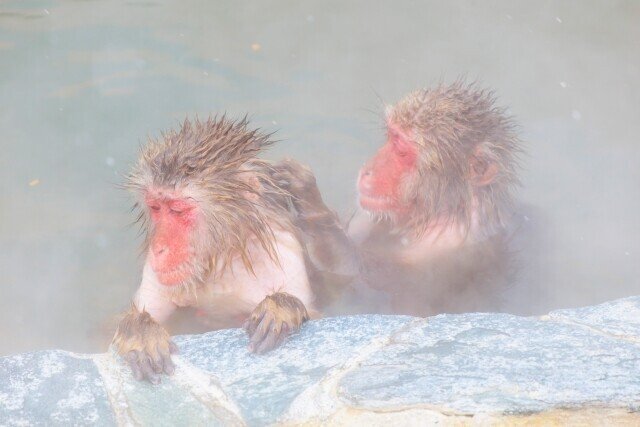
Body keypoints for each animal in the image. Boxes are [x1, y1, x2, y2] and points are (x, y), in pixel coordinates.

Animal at [114, 116, 318, 384]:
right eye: (156, 207)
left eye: (177, 210)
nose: (158, 248)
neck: (222, 255)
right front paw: (139, 331)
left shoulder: (286, 252)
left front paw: (279, 308)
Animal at [278, 83, 524, 318]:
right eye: (391, 136)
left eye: (402, 150)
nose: (367, 170)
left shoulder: (451, 245)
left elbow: (391, 283)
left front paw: (316, 215)